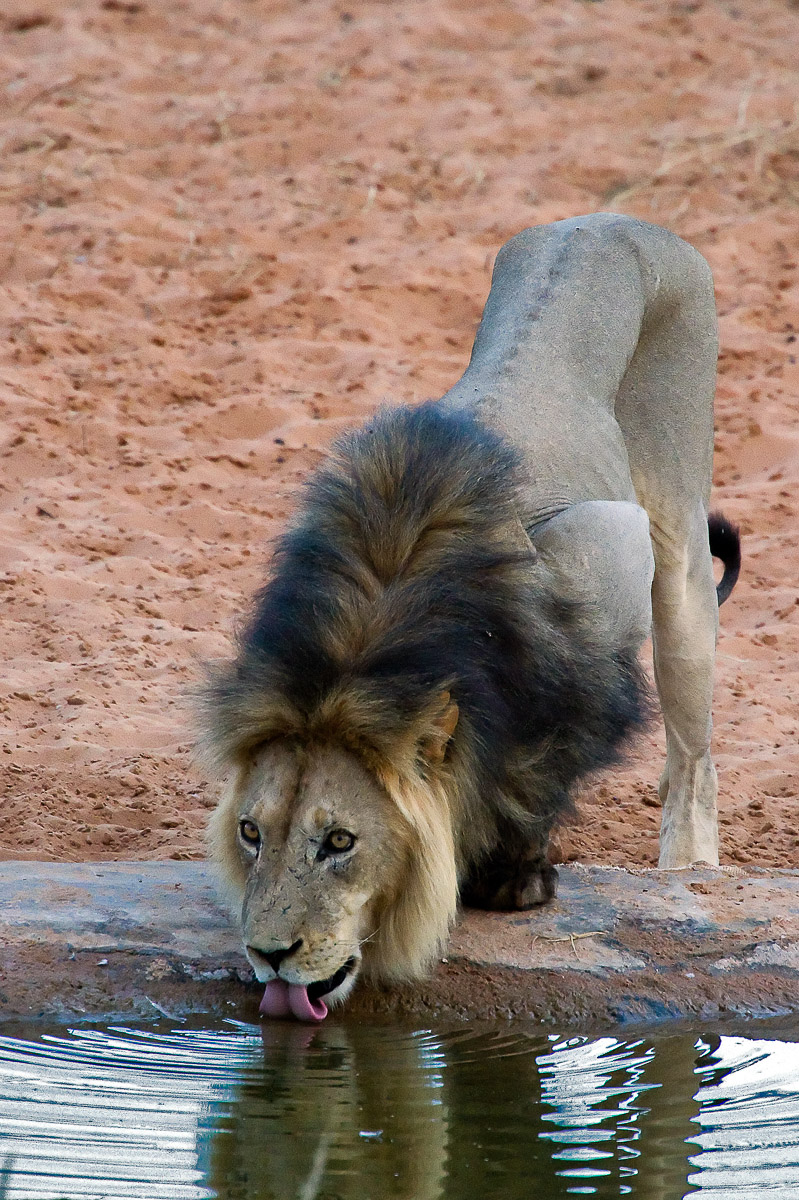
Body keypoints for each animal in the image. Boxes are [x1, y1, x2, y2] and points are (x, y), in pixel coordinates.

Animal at [200, 213, 740, 1021]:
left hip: (677, 545)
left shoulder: (602, 549)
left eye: (339, 842)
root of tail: (613, 219)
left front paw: (517, 879)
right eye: (249, 833)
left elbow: (551, 757)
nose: (269, 955)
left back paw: (687, 869)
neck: (380, 616)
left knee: (693, 759)